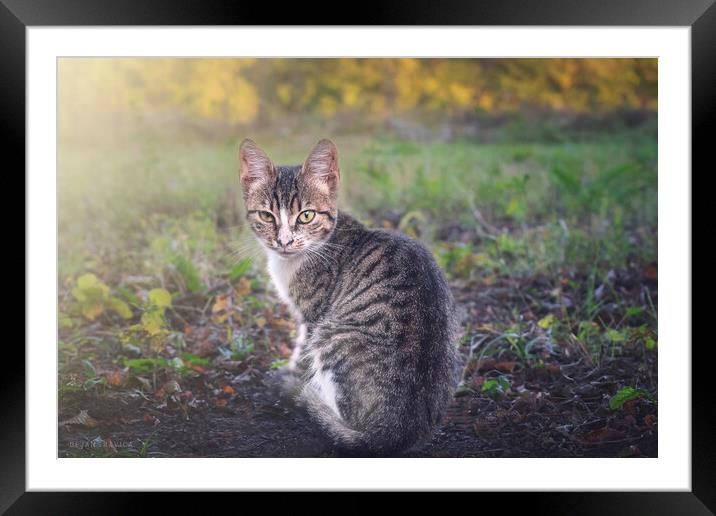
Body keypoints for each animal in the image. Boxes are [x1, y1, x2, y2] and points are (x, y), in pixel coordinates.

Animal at [241, 138, 462, 456]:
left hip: (331, 336)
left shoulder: (312, 316)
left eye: (306, 215)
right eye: (266, 215)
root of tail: (395, 433)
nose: (284, 241)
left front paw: (290, 377)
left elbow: (301, 353)